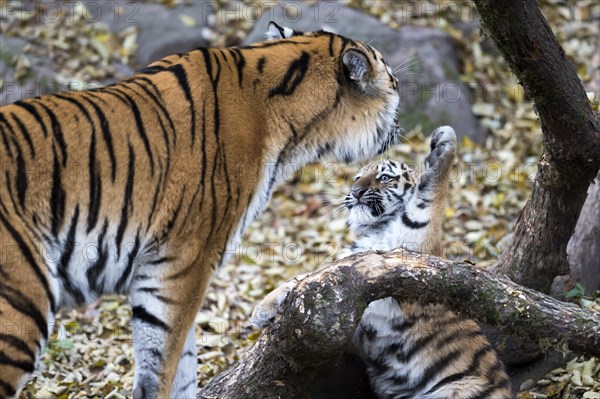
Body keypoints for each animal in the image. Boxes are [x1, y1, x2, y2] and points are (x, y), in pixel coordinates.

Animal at [1, 22, 404, 399]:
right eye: (394, 81)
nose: (400, 121)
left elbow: (181, 361)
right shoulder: (182, 261)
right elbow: (165, 361)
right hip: (22, 306)